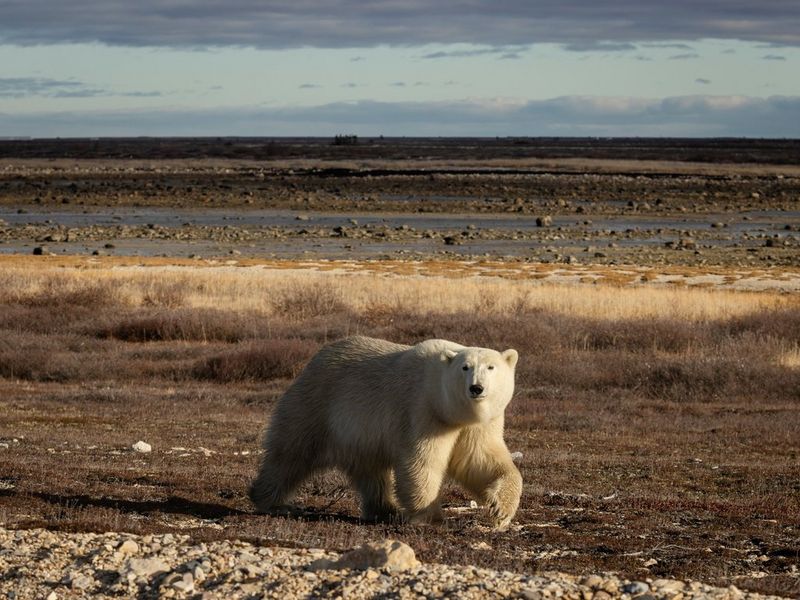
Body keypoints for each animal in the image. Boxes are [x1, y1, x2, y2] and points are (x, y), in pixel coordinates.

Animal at [249, 335, 522, 529]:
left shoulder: (477, 424)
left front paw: (500, 510)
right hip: (317, 405)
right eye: (465, 367)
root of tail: (313, 360)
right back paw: (270, 500)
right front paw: (431, 517)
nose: (476, 388)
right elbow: (421, 462)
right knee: (291, 453)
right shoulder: (421, 410)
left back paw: (384, 510)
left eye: (491, 367)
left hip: (359, 437)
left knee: (372, 472)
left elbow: (480, 461)